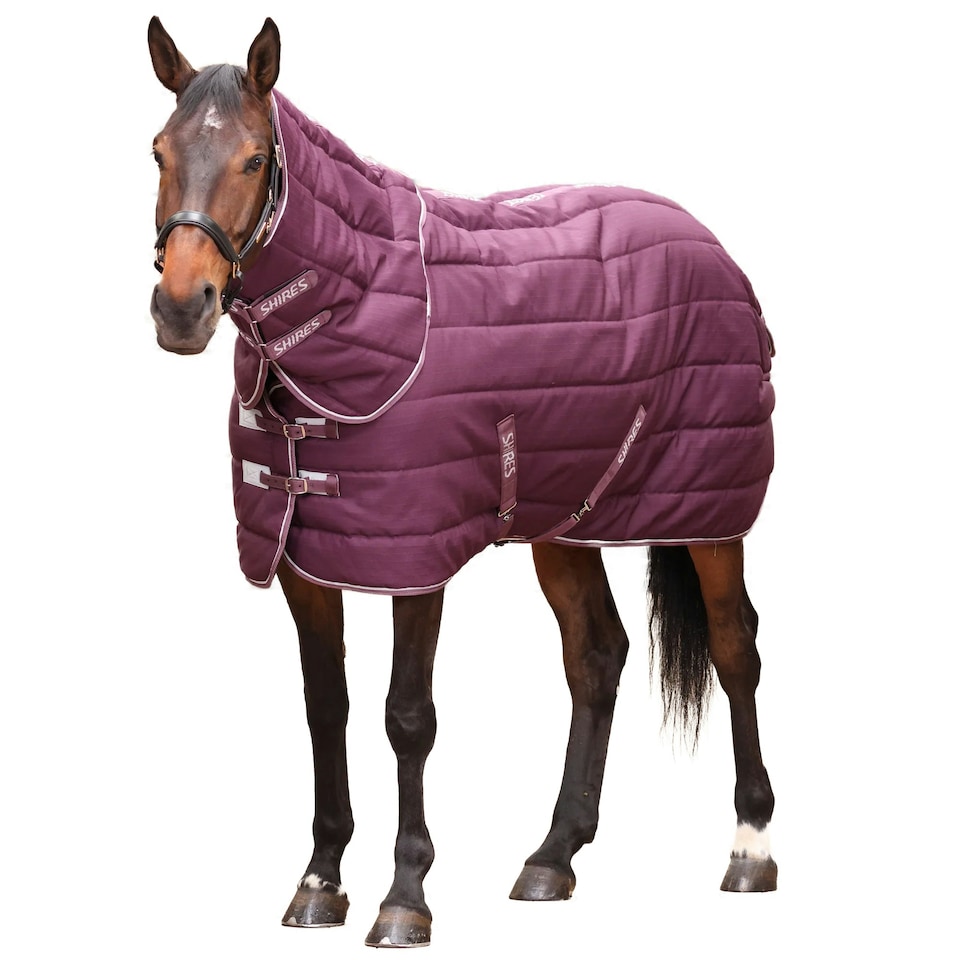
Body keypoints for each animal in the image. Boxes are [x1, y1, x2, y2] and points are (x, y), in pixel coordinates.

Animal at [147, 16, 777, 948]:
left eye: (256, 159)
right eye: (158, 150)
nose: (181, 307)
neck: (364, 302)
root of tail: (711, 246)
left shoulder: (417, 558)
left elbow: (407, 717)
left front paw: (404, 897)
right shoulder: (306, 562)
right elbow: (325, 705)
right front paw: (319, 881)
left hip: (711, 513)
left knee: (736, 647)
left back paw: (749, 847)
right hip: (567, 521)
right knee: (596, 656)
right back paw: (553, 856)